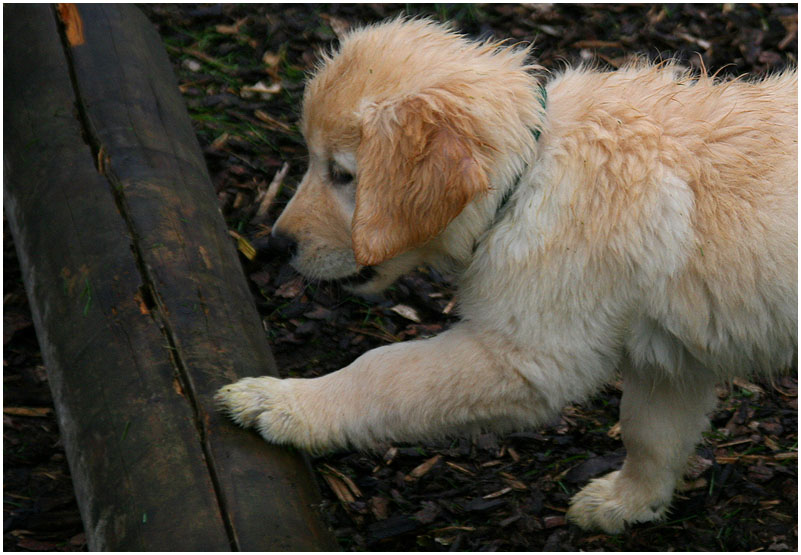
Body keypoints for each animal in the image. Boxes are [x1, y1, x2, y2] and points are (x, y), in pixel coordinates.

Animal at [216, 18, 796, 536]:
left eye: (342, 174)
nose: (276, 244)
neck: (529, 170)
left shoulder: (528, 356)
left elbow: (383, 372)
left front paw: (281, 405)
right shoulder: (670, 360)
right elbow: (651, 434)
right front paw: (626, 504)